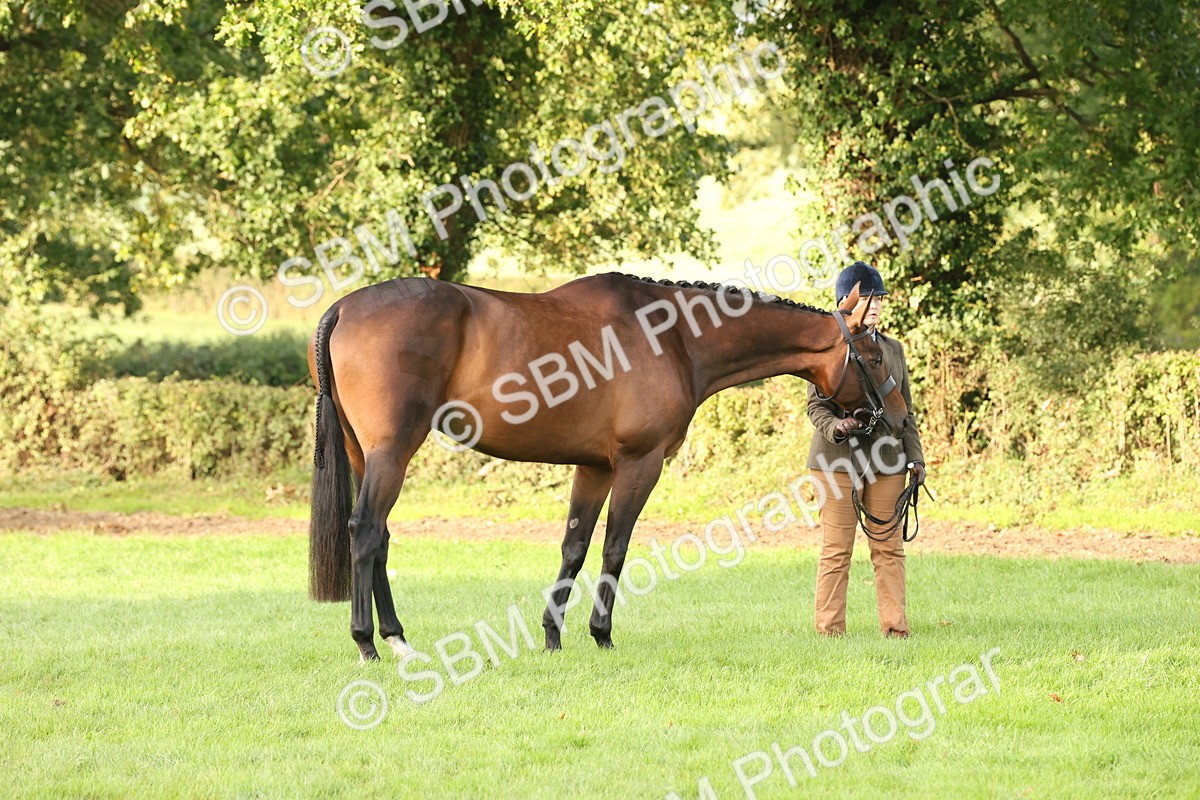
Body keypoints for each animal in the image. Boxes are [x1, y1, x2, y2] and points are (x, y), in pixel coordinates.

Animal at [306, 272, 910, 661]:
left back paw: (399, 639)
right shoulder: (640, 464)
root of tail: (346, 308)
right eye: (872, 355)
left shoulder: (592, 468)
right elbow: (615, 548)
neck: (673, 337)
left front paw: (553, 637)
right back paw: (367, 643)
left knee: (380, 537)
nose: (900, 419)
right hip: (392, 452)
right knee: (365, 531)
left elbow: (574, 547)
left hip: (367, 454)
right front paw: (601, 633)